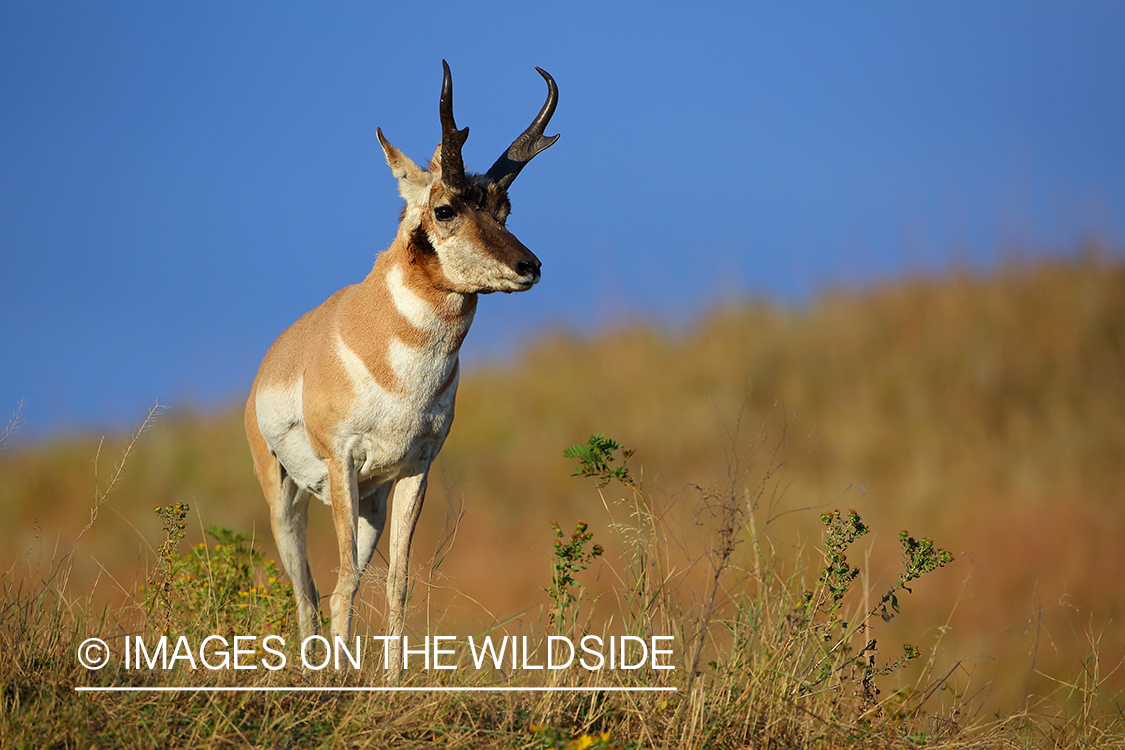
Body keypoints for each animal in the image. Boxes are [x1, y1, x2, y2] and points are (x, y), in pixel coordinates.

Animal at [244, 61, 558, 670]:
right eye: (445, 209)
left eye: (504, 209)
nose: (529, 266)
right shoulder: (342, 460)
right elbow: (343, 582)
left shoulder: (416, 470)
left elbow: (398, 583)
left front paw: (391, 680)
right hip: (284, 495)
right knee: (306, 589)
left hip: (372, 504)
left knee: (332, 583)